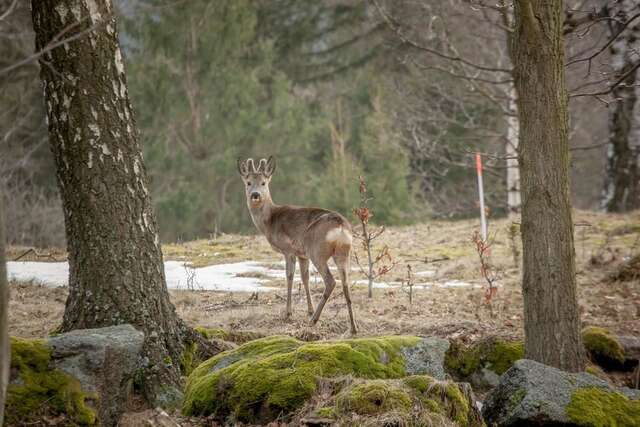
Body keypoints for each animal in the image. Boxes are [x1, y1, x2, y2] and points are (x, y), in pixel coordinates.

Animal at [235, 157, 358, 334]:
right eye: (248, 182)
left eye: (264, 183)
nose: (255, 195)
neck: (269, 221)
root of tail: (340, 226)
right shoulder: (302, 254)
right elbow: (305, 278)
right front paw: (309, 310)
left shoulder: (288, 250)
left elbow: (290, 276)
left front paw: (288, 313)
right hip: (343, 252)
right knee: (345, 282)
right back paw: (353, 327)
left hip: (316, 251)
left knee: (331, 281)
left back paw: (314, 321)